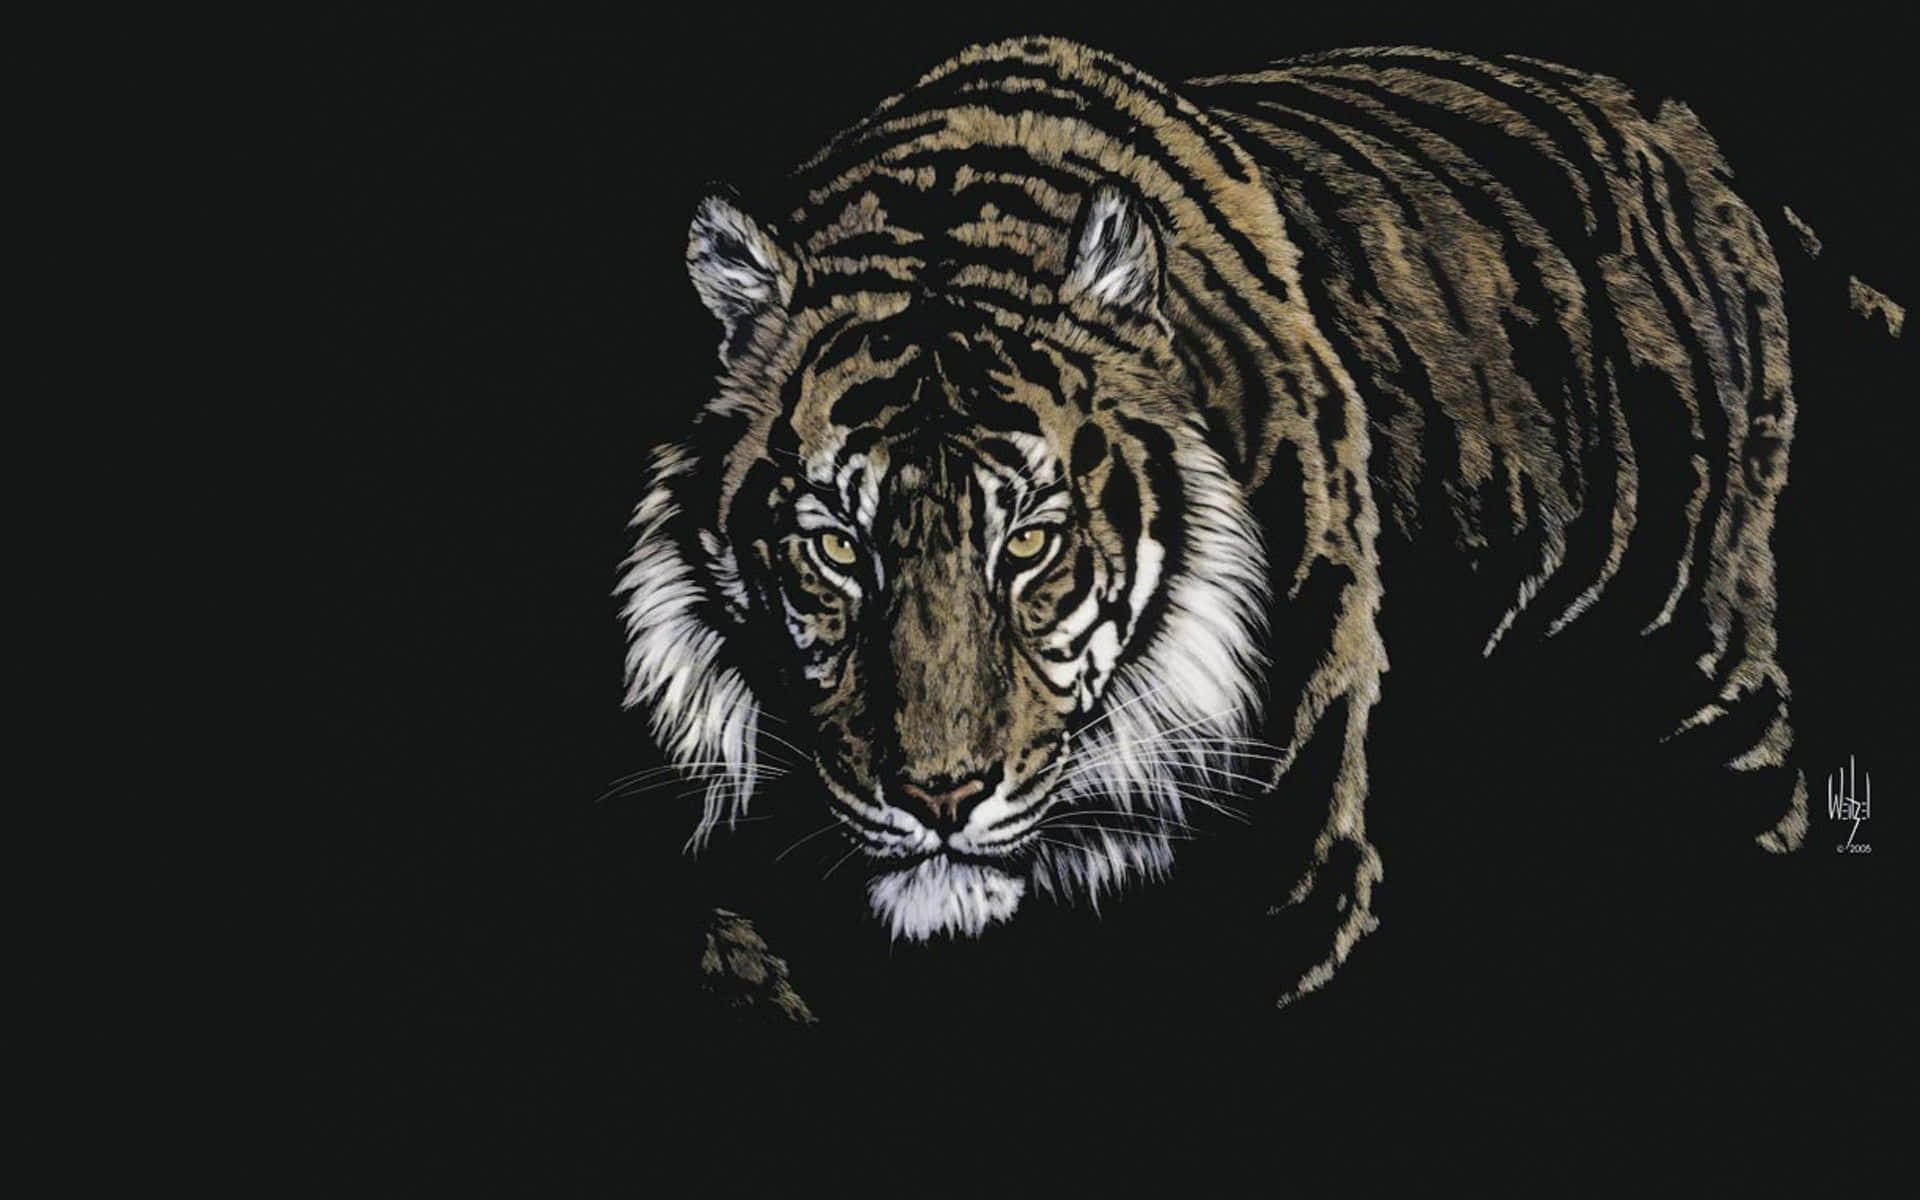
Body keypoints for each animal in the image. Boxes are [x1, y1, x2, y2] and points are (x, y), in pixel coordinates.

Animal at [616, 35, 1827, 1012]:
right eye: (834, 548)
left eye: (1030, 543)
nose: (940, 796)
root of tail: (1677, 124)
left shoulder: (1282, 877)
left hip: (1707, 682)